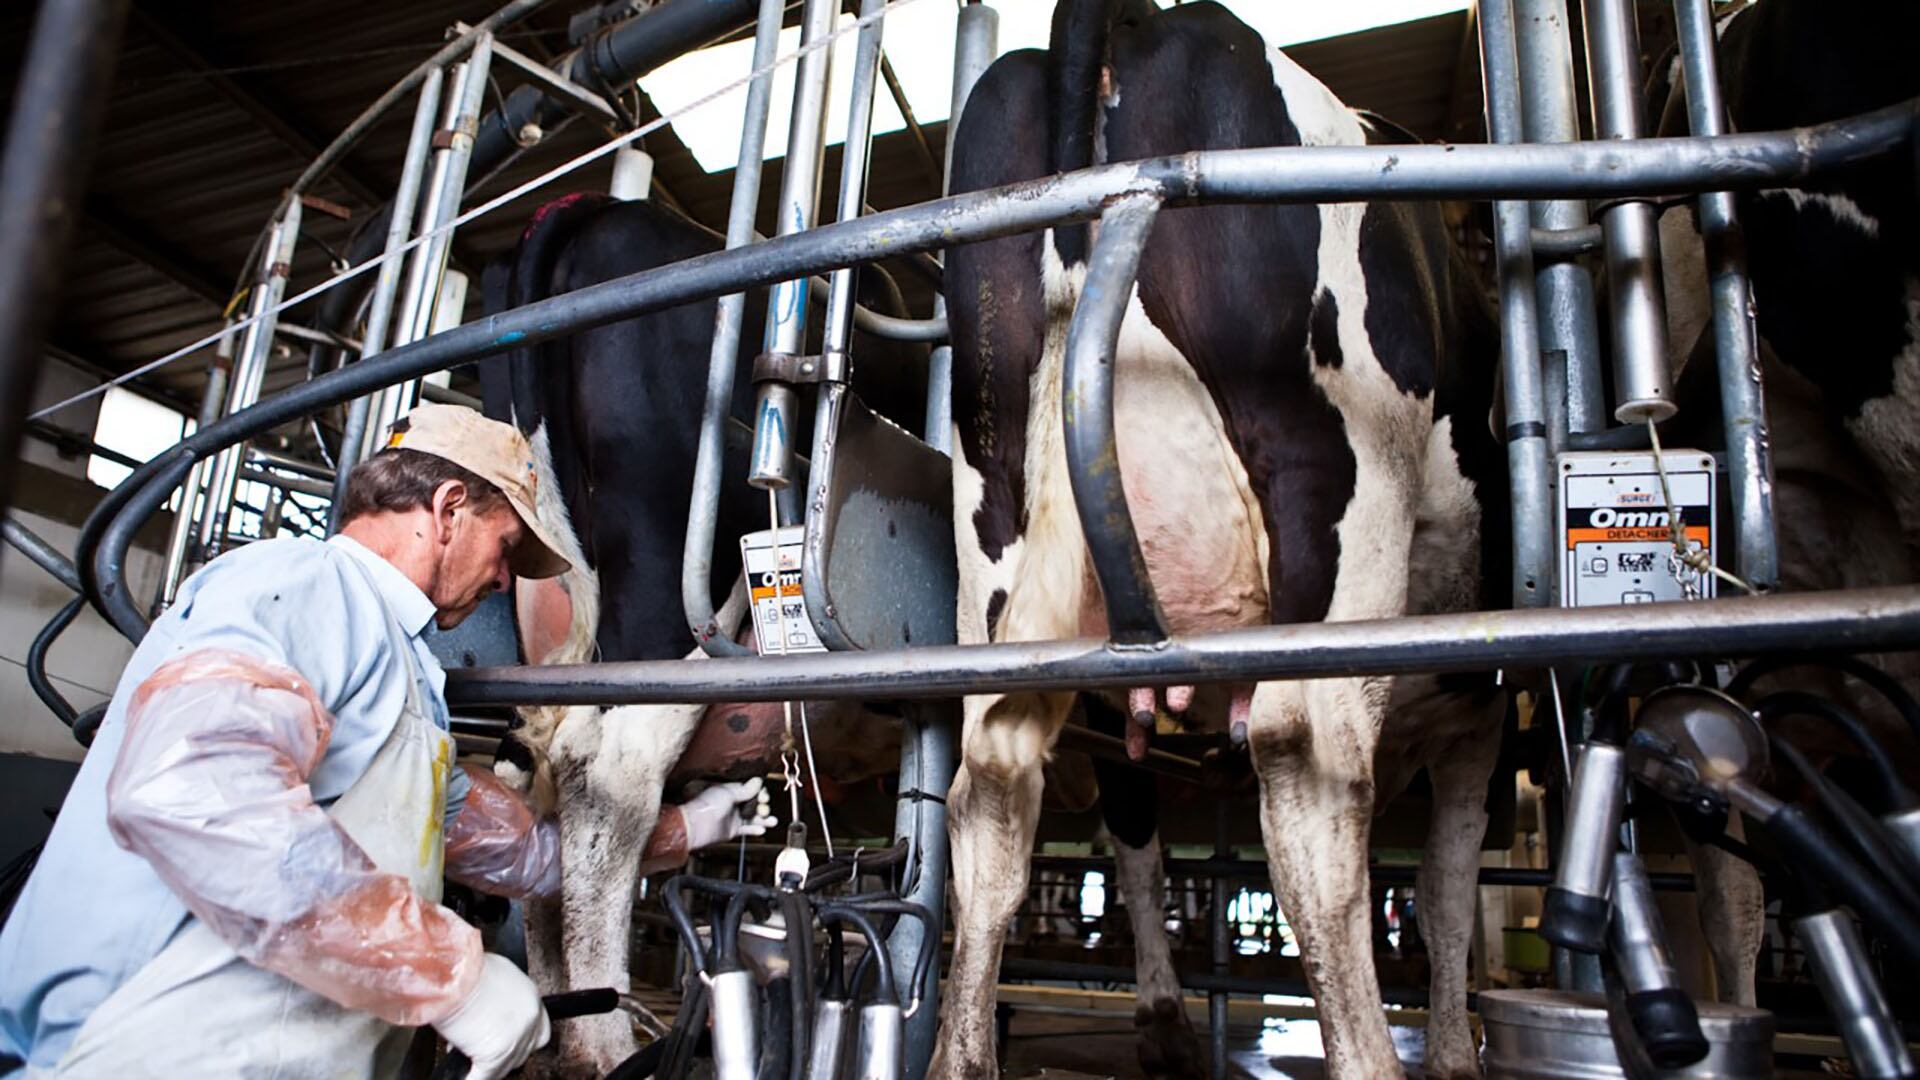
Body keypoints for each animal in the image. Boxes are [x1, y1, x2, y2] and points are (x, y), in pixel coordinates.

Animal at [936, 4, 1505, 1068]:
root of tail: (1141, 19)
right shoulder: (1484, 707)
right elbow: (1450, 889)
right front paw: (1455, 1051)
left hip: (994, 516)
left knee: (993, 780)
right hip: (1336, 484)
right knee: (1310, 772)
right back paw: (1365, 1055)